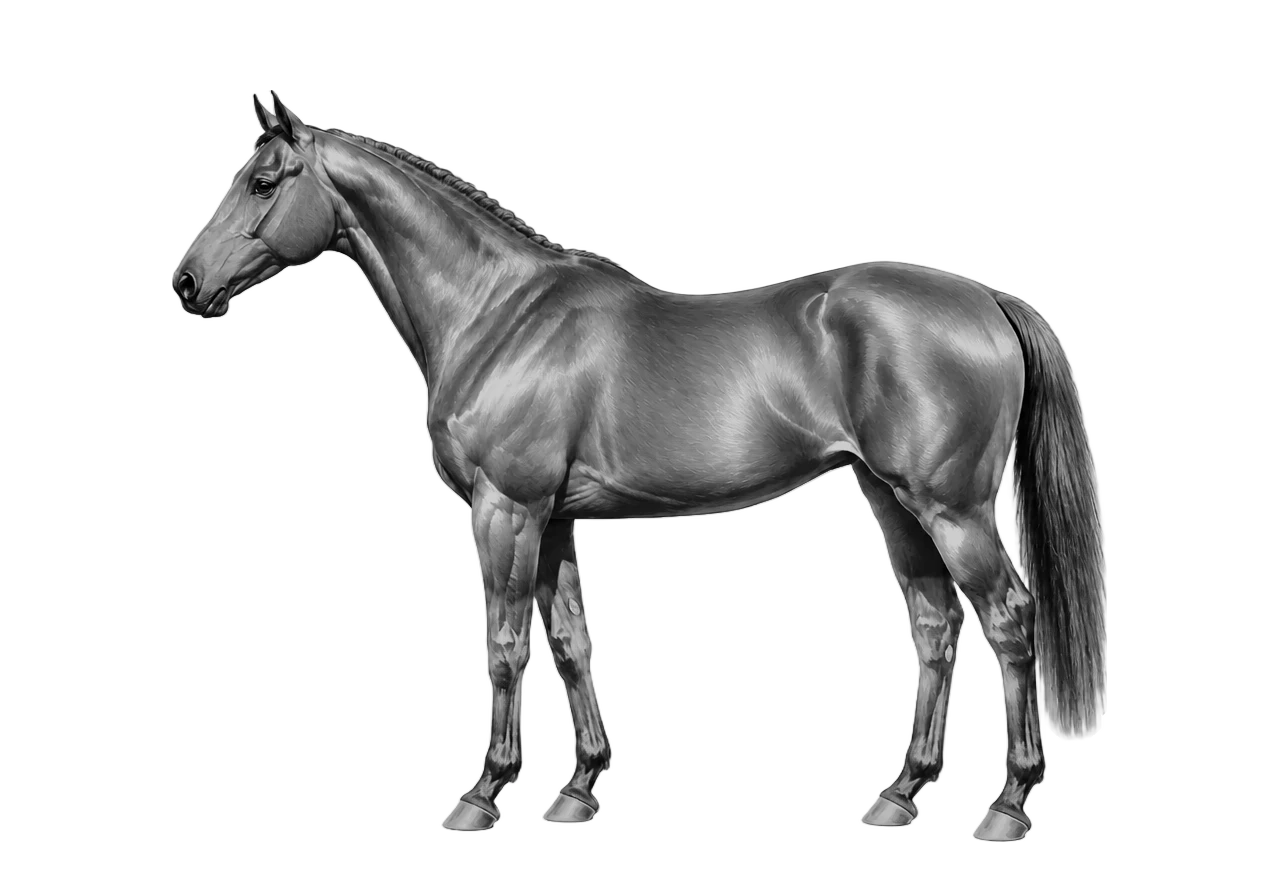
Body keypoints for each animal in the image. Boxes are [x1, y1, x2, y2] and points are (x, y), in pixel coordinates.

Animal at [171, 92, 1107, 841]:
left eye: (263, 182)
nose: (185, 283)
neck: (500, 314)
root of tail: (986, 301)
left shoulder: (505, 510)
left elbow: (505, 646)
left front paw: (484, 792)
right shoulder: (553, 518)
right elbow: (570, 642)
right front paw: (579, 787)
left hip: (952, 509)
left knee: (1008, 619)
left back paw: (1008, 805)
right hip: (893, 501)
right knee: (934, 626)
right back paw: (901, 792)